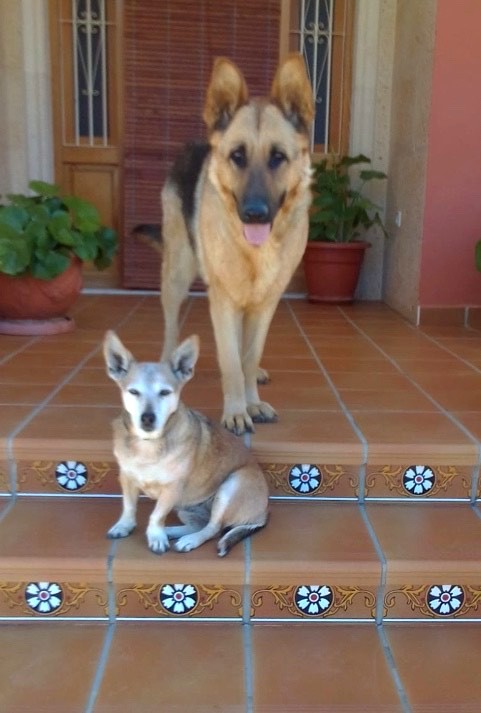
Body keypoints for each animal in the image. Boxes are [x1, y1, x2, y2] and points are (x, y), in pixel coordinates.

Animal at [103, 330, 268, 556]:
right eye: (133, 392)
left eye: (165, 392)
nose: (147, 418)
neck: (148, 445)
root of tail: (264, 513)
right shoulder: (127, 478)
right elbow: (128, 506)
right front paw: (124, 525)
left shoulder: (172, 489)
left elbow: (156, 515)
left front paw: (156, 536)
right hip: (187, 507)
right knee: (200, 524)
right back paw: (172, 531)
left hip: (231, 486)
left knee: (213, 528)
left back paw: (188, 540)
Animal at [159, 54, 314, 434]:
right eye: (238, 156)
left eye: (278, 157)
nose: (254, 213)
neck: (256, 252)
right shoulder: (224, 303)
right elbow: (231, 361)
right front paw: (236, 410)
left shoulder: (265, 304)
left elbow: (248, 355)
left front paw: (252, 401)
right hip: (176, 275)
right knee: (171, 326)